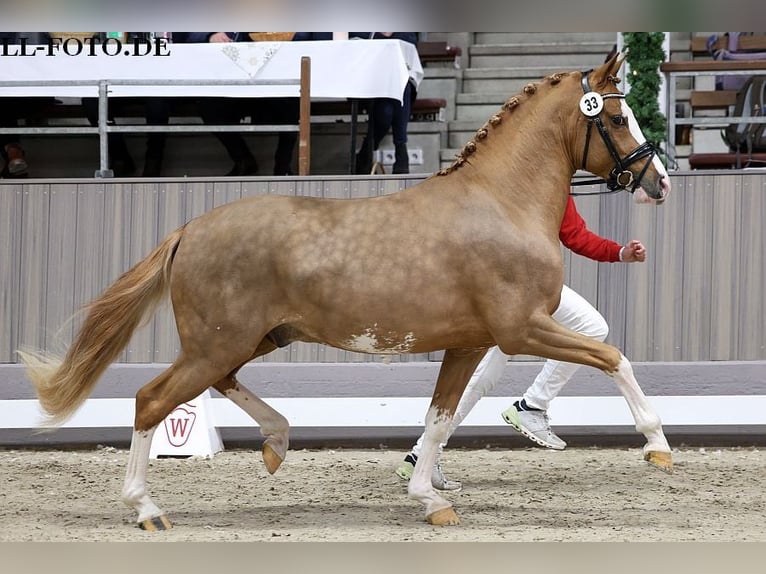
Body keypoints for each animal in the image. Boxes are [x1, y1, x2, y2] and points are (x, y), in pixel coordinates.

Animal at [19, 53, 672, 532]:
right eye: (618, 120)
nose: (659, 182)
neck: (500, 203)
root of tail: (189, 229)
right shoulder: (522, 328)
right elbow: (612, 356)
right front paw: (657, 445)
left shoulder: (469, 343)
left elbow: (439, 418)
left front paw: (430, 498)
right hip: (217, 344)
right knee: (151, 400)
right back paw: (148, 509)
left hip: (254, 340)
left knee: (215, 385)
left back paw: (276, 442)